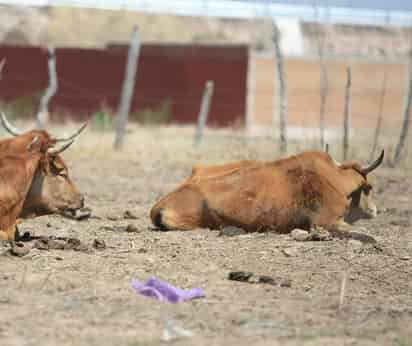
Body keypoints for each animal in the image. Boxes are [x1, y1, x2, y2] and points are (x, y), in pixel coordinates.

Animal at [150, 150, 384, 242]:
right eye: (369, 187)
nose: (375, 211)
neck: (334, 178)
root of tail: (159, 205)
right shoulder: (326, 222)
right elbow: (368, 236)